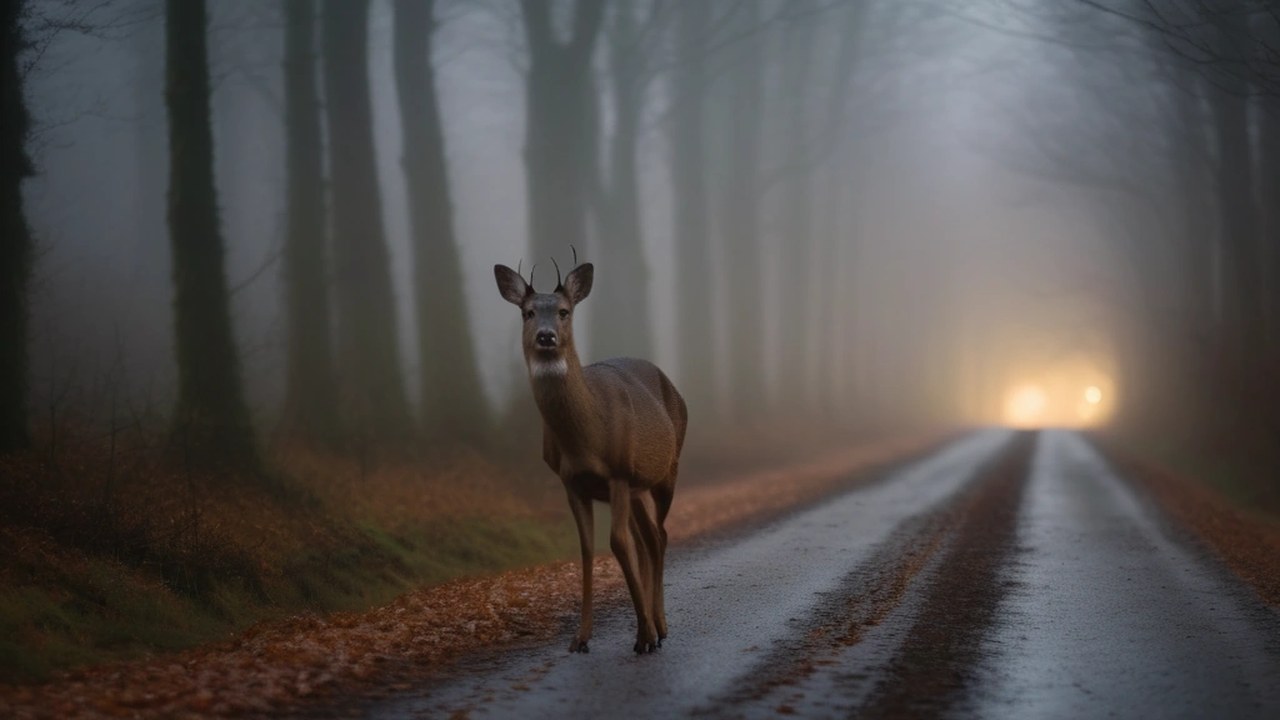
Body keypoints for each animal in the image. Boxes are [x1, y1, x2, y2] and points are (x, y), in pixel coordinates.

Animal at [494, 256, 687, 654]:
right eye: (528, 312)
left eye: (564, 311)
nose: (546, 336)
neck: (586, 440)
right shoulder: (572, 482)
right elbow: (587, 548)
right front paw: (580, 638)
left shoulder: (618, 472)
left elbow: (616, 543)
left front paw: (643, 635)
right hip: (637, 489)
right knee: (648, 539)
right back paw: (655, 623)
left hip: (667, 471)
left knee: (659, 534)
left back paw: (660, 626)